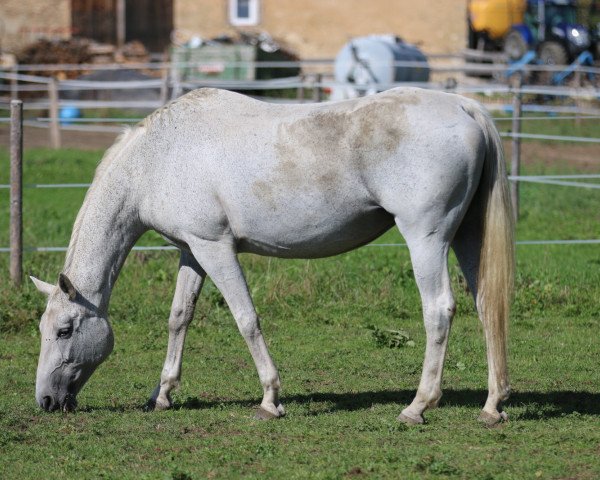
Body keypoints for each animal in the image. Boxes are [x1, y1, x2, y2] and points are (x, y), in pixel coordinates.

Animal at [30, 86, 512, 424]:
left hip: (425, 239)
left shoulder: (216, 248)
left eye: (65, 330)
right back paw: (492, 405)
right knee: (486, 306)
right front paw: (161, 395)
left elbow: (246, 319)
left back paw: (418, 406)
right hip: (466, 237)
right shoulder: (192, 251)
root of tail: (465, 108)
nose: (46, 400)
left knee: (439, 310)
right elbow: (178, 318)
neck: (158, 158)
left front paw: (270, 399)